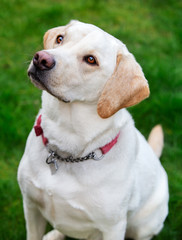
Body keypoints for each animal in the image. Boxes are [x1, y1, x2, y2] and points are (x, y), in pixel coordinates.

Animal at [17, 20, 168, 240]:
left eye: (91, 59)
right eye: (60, 38)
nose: (41, 59)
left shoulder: (113, 227)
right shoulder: (30, 205)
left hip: (145, 225)